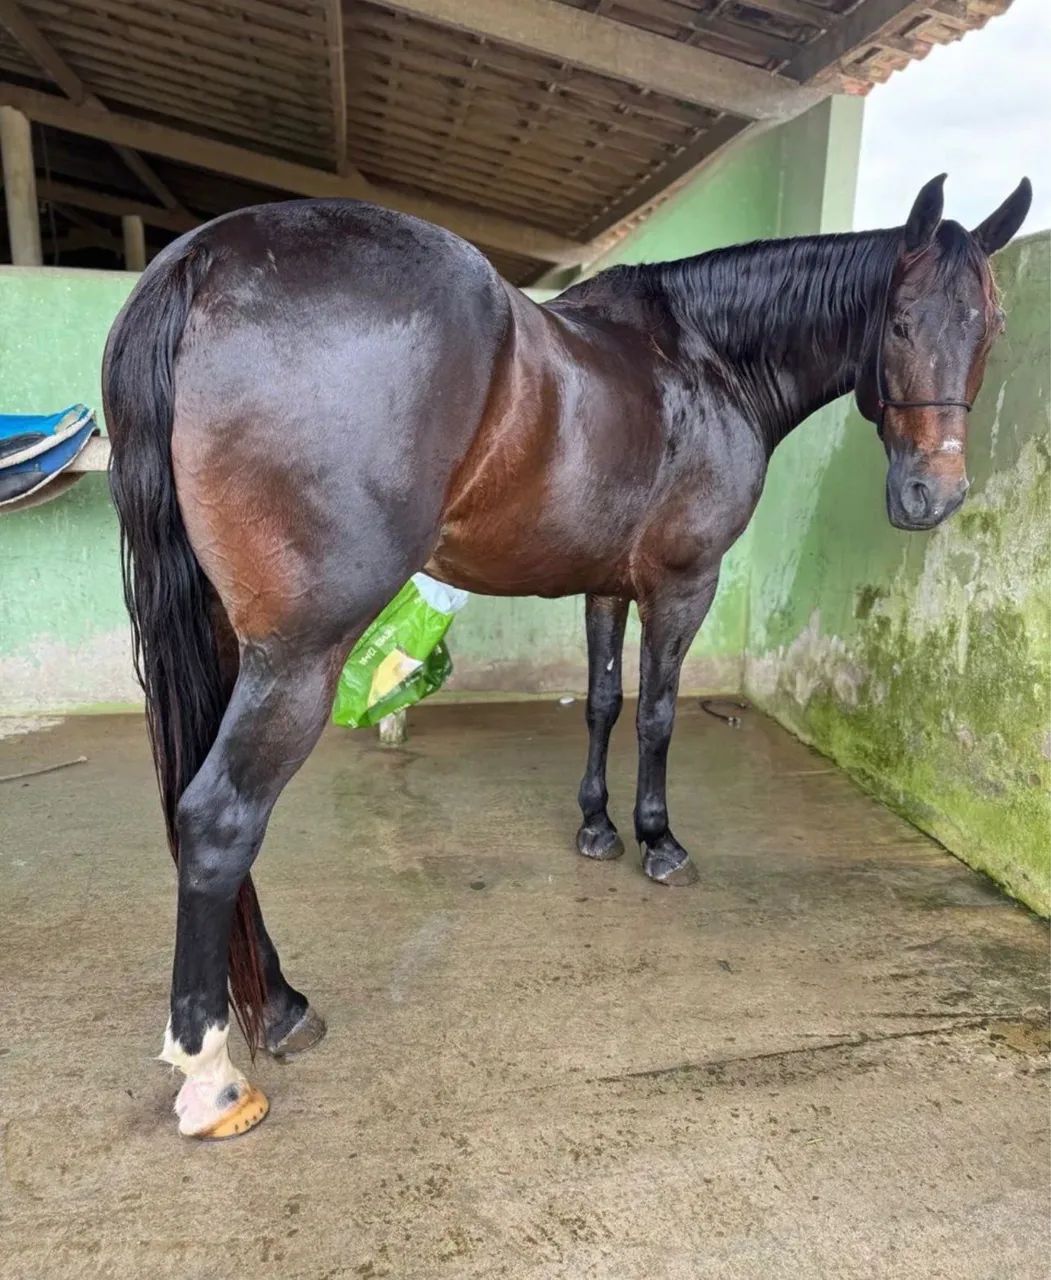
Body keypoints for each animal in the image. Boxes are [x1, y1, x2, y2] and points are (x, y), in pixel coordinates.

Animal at [104, 173, 1031, 1138]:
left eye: (988, 328)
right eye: (899, 321)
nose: (933, 494)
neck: (706, 356)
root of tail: (203, 258)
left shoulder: (605, 586)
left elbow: (601, 701)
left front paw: (597, 827)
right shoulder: (681, 585)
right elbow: (656, 713)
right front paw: (658, 841)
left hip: (227, 639)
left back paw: (281, 1004)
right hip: (298, 655)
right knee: (221, 820)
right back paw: (212, 1073)